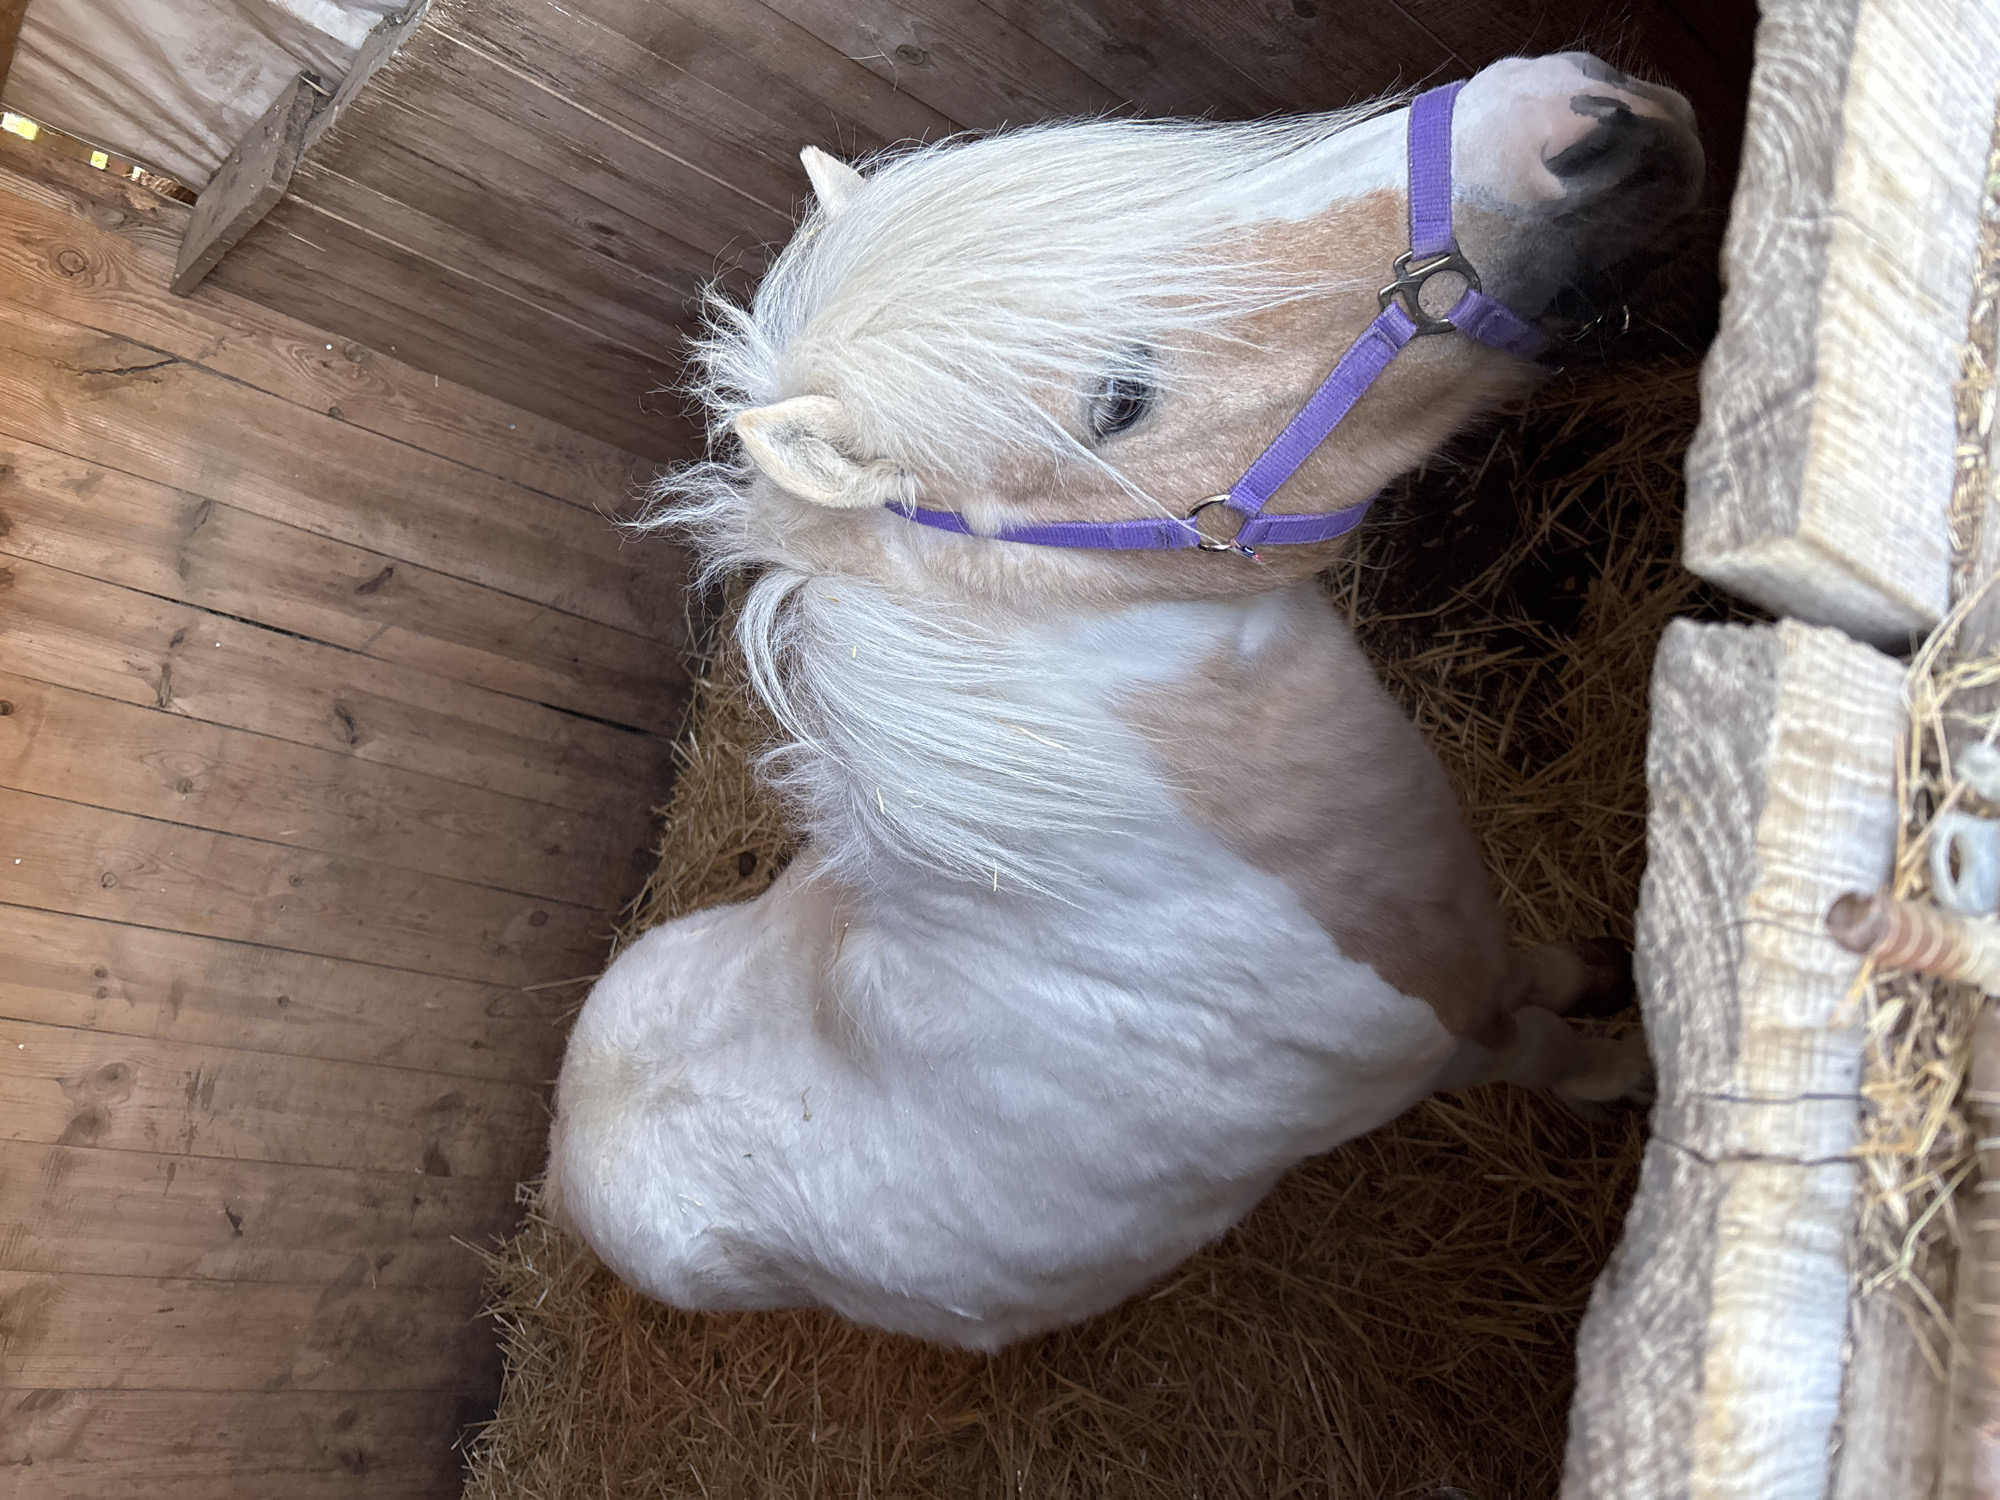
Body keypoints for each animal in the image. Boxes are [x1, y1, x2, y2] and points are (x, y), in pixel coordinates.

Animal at [546, 53, 1703, 1351]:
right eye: (1117, 402)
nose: (1572, 120)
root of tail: (569, 1146)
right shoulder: (1450, 1044)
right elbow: (1548, 1049)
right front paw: (1630, 1075)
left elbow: (1542, 973)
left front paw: (1601, 968)